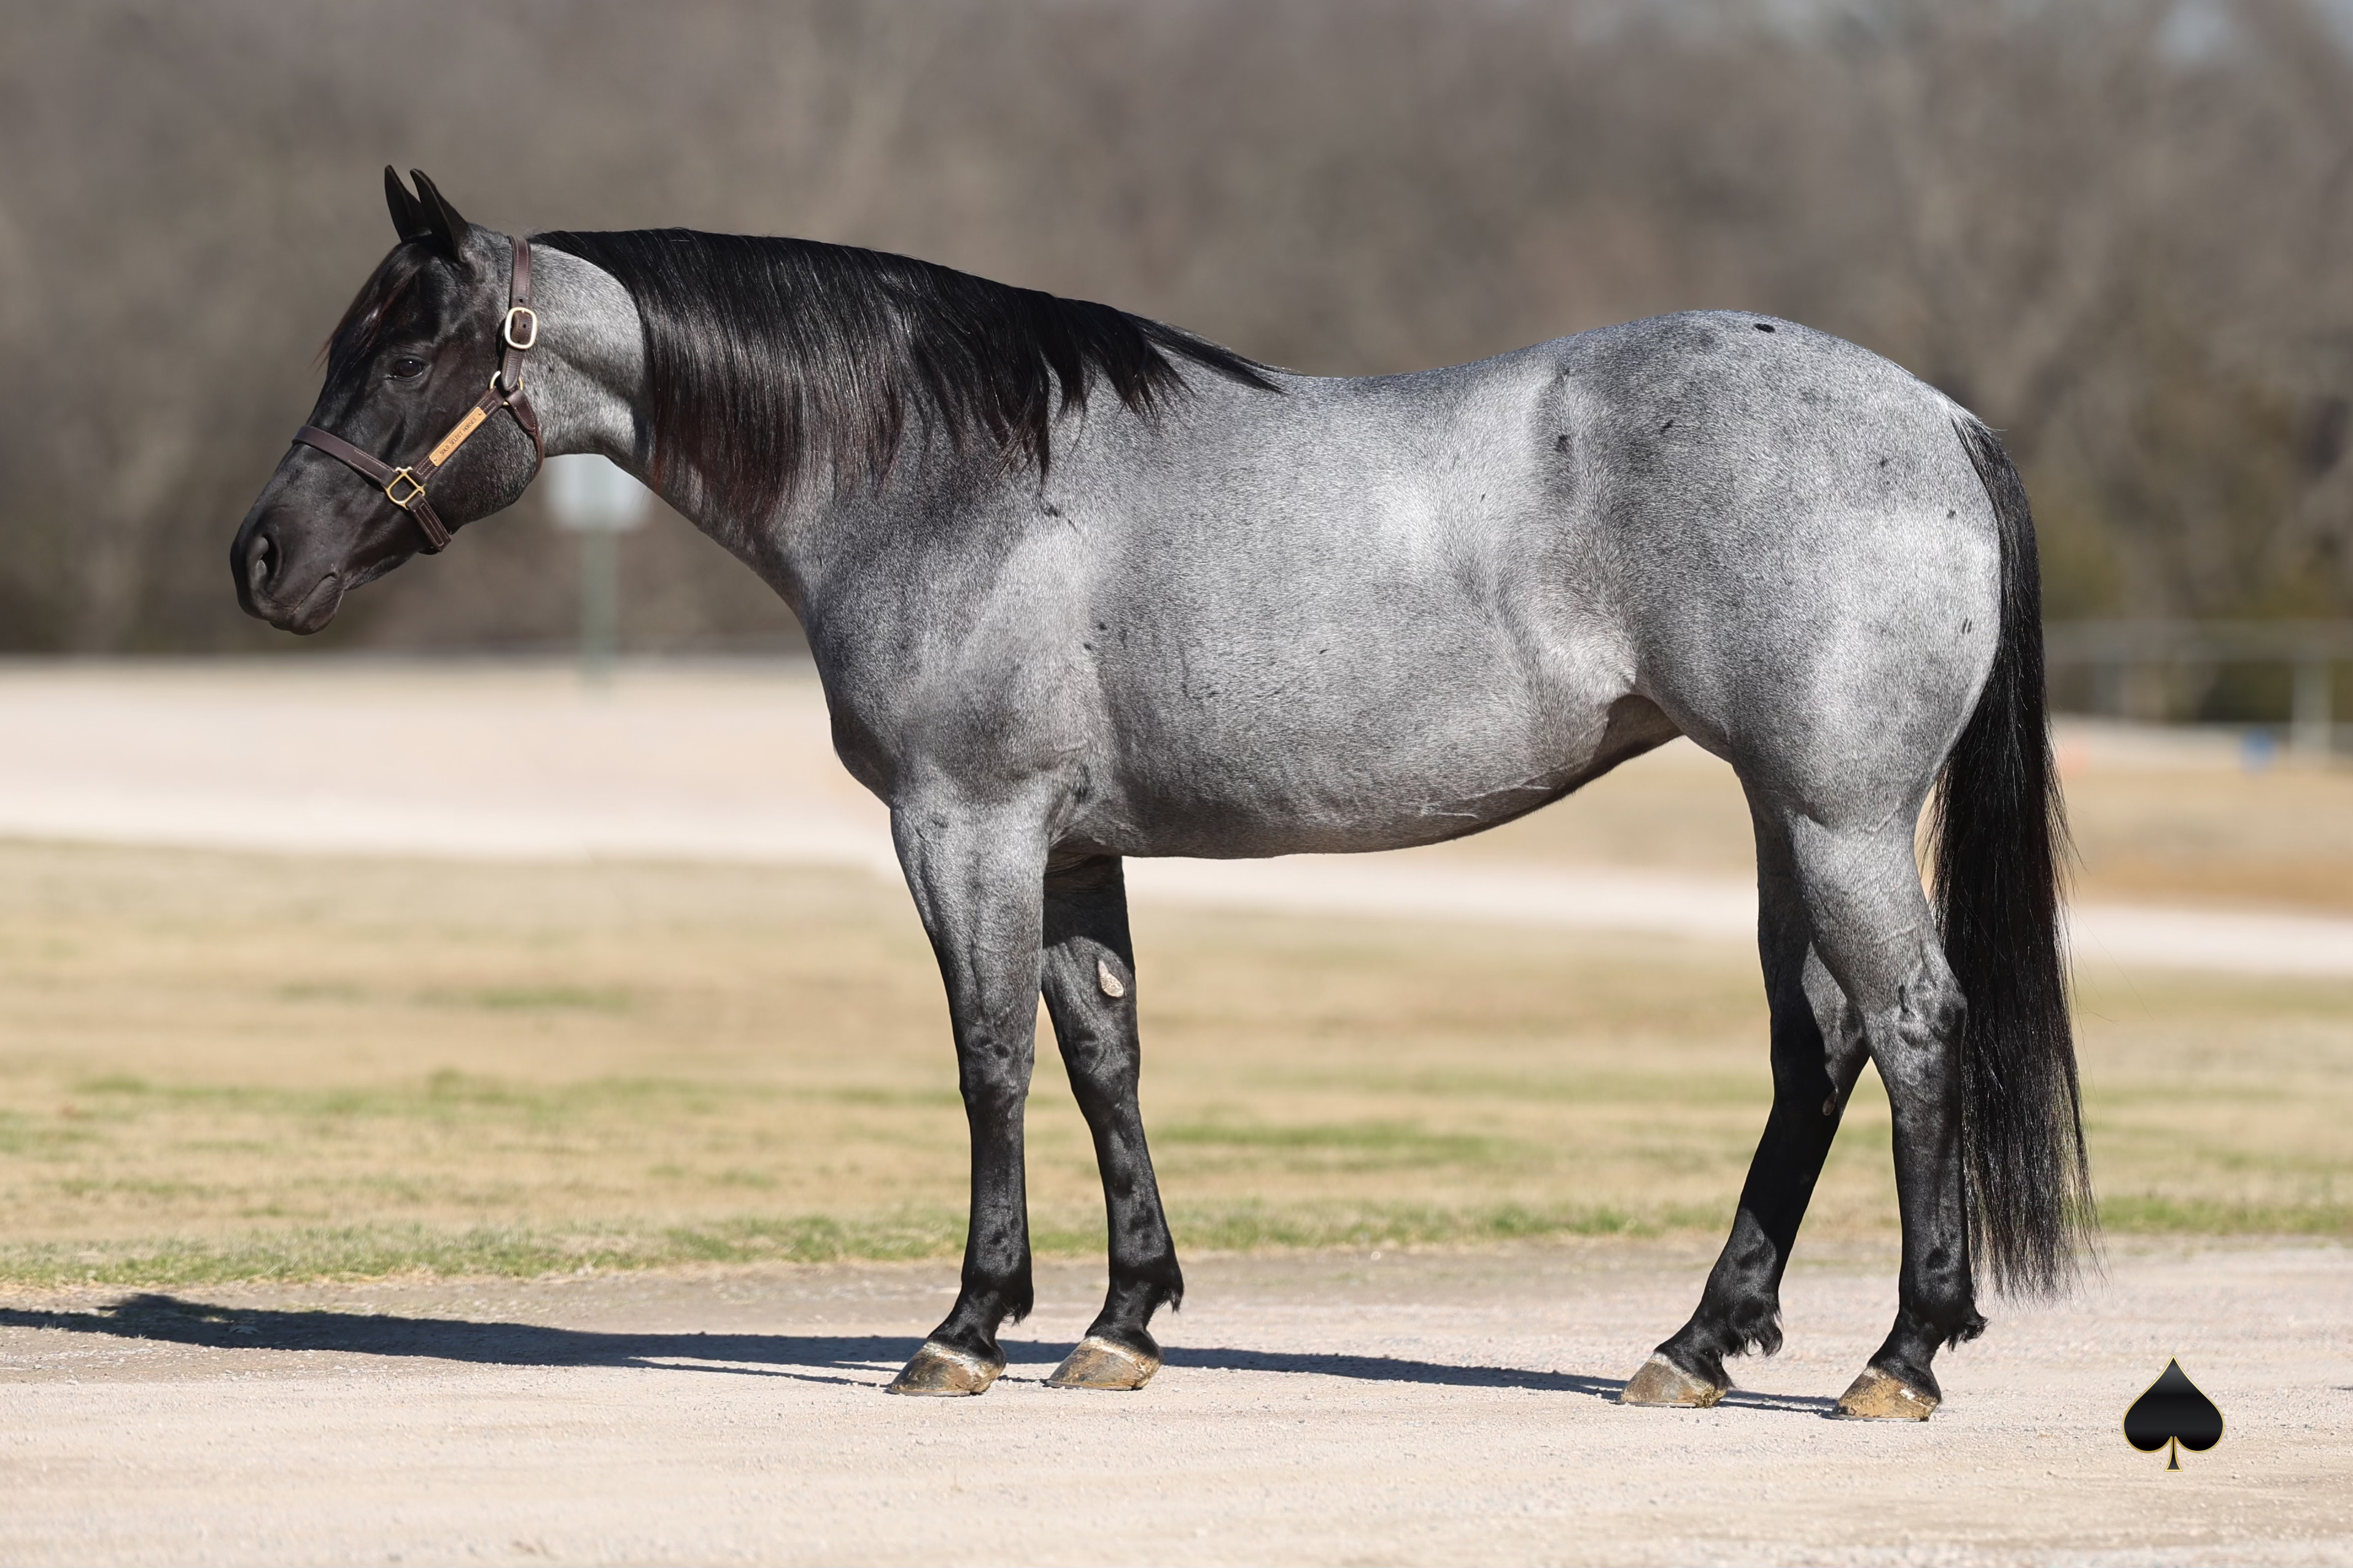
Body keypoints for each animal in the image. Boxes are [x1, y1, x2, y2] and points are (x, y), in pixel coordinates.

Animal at [233, 169, 2092, 1418]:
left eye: (411, 355)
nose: (262, 559)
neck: (939, 468)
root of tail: (1937, 420)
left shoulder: (963, 825)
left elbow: (986, 1056)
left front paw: (967, 1326)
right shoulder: (1067, 848)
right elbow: (1100, 1052)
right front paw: (1118, 1323)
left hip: (1836, 816)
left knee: (1913, 1026)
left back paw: (1900, 1354)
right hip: (1787, 815)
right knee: (1819, 1045)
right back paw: (1698, 1344)